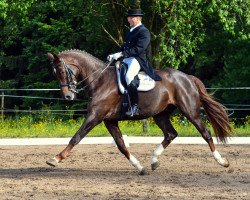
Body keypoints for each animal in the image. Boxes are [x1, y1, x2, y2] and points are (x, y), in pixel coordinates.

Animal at [46, 49, 232, 175]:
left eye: (62, 71)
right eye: (55, 74)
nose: (68, 96)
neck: (99, 81)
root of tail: (187, 77)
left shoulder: (95, 116)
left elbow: (76, 137)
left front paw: (55, 159)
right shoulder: (109, 121)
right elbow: (121, 145)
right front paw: (140, 167)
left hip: (190, 111)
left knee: (205, 132)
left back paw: (222, 161)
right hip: (160, 114)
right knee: (171, 134)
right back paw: (154, 161)